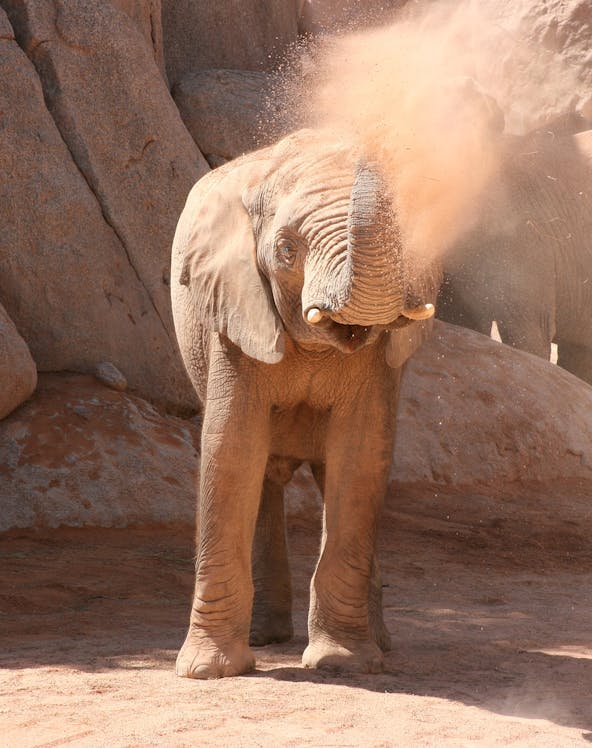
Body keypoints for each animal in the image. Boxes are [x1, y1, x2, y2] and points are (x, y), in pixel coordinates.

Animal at [171, 129, 440, 679]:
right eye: (286, 249)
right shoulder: (235, 310)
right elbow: (231, 449)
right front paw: (207, 672)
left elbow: (361, 457)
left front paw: (343, 663)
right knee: (264, 476)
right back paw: (265, 638)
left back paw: (380, 645)